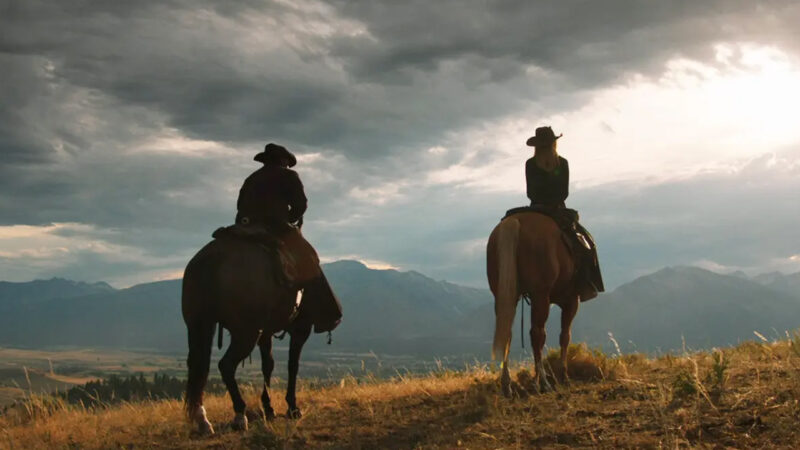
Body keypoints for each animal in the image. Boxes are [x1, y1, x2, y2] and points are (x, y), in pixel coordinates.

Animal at [183, 237, 314, 434]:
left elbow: (268, 365)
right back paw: (239, 415)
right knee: (226, 365)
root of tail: (211, 258)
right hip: (246, 333)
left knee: (198, 368)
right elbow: (293, 365)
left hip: (199, 325)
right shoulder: (300, 329)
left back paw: (203, 420)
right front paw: (292, 408)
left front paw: (269, 408)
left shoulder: (265, 333)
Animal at [484, 212, 580, 394]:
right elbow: (565, 336)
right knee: (537, 334)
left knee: (508, 332)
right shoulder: (571, 300)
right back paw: (542, 382)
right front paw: (564, 376)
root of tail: (515, 220)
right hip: (540, 295)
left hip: (504, 293)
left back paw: (507, 384)